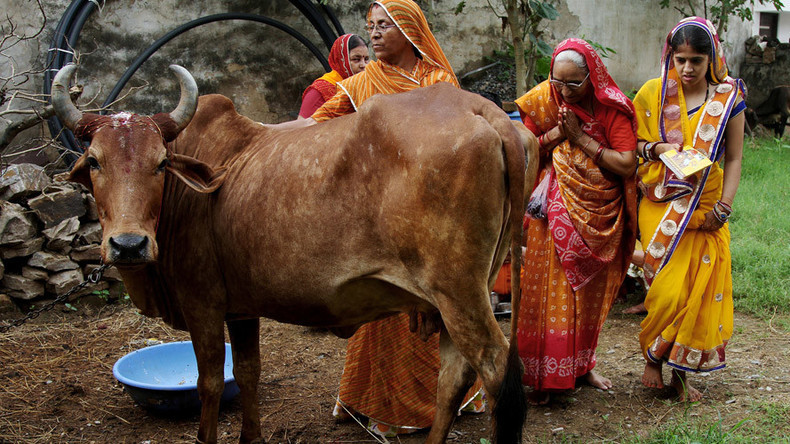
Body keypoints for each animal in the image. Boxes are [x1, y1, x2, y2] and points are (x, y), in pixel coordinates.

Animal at [52, 63, 540, 444]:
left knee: (496, 370)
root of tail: (483, 110)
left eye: (159, 163)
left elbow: (209, 383)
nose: (128, 245)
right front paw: (252, 437)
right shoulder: (241, 309)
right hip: (458, 295)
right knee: (453, 377)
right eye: (94, 161)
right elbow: (247, 372)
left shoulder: (201, 304)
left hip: (459, 293)